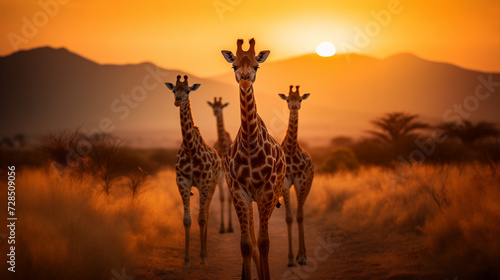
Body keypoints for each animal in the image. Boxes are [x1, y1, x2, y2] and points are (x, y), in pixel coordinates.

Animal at [165, 74, 220, 266]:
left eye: (188, 91)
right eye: (174, 90)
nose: (177, 101)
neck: (190, 149)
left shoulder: (204, 182)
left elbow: (201, 218)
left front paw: (202, 257)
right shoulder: (182, 181)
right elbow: (187, 220)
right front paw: (187, 259)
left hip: (213, 184)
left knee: (207, 213)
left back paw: (206, 254)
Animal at [222, 38, 288, 280]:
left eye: (256, 66)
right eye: (234, 65)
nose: (244, 78)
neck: (250, 144)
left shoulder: (266, 193)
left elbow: (264, 242)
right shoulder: (239, 192)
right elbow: (246, 245)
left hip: (271, 195)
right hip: (248, 199)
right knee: (250, 237)